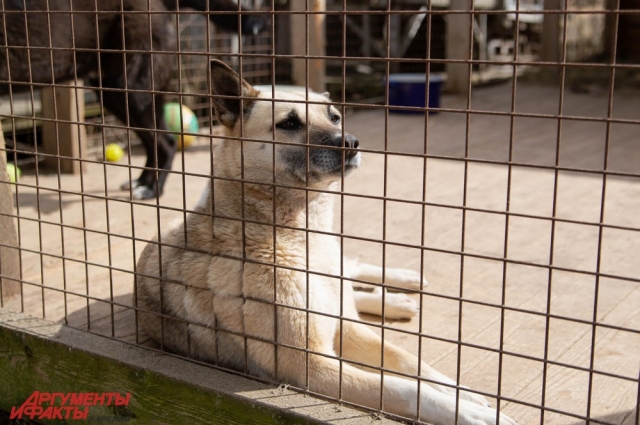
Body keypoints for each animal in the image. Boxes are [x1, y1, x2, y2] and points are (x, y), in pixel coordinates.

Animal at [0, 0, 264, 199]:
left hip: (131, 90)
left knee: (166, 141)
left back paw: (152, 189)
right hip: (115, 93)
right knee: (154, 141)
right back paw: (142, 182)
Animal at [135, 59, 516, 424]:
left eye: (334, 117)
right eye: (289, 123)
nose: (350, 143)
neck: (299, 237)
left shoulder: (348, 330)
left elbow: (410, 361)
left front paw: (463, 393)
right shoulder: (312, 365)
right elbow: (403, 388)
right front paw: (473, 413)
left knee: (354, 272)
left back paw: (400, 287)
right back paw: (394, 300)